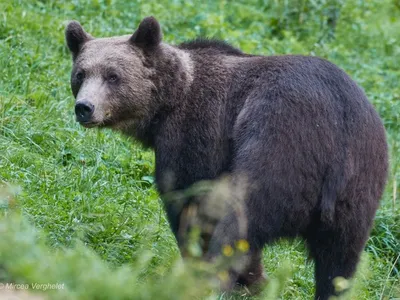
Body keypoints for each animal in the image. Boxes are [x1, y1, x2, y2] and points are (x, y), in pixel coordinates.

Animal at [65, 17, 388, 300]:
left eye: (113, 75)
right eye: (81, 74)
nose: (85, 107)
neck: (165, 105)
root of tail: (336, 120)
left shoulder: (197, 133)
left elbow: (191, 202)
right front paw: (254, 280)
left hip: (281, 142)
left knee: (241, 216)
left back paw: (212, 281)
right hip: (361, 181)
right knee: (340, 258)